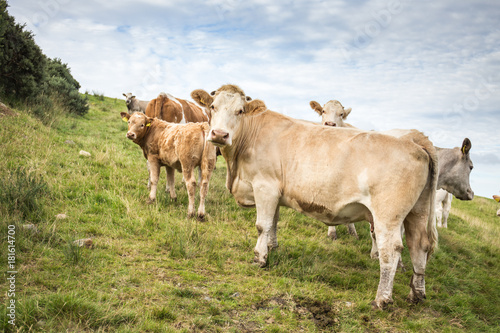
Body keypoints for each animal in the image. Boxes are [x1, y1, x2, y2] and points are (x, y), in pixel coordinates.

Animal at [191, 83, 438, 308]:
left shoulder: (264, 186)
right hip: (417, 211)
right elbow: (274, 223)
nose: (220, 134)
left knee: (391, 250)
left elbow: (262, 225)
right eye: (212, 106)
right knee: (419, 245)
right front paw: (272, 248)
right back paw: (416, 293)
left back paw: (382, 299)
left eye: (240, 111)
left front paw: (259, 258)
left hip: (388, 215)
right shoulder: (275, 192)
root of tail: (416, 144)